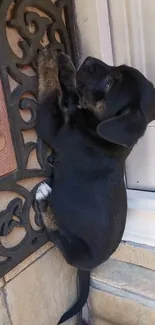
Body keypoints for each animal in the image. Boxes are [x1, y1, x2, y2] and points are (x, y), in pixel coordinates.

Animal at [35, 46, 155, 322]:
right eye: (115, 69)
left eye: (110, 83)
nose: (88, 59)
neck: (100, 130)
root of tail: (89, 267)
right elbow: (70, 87)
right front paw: (65, 63)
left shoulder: (52, 126)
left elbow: (50, 92)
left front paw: (48, 61)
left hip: (72, 248)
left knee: (57, 238)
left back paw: (45, 199)